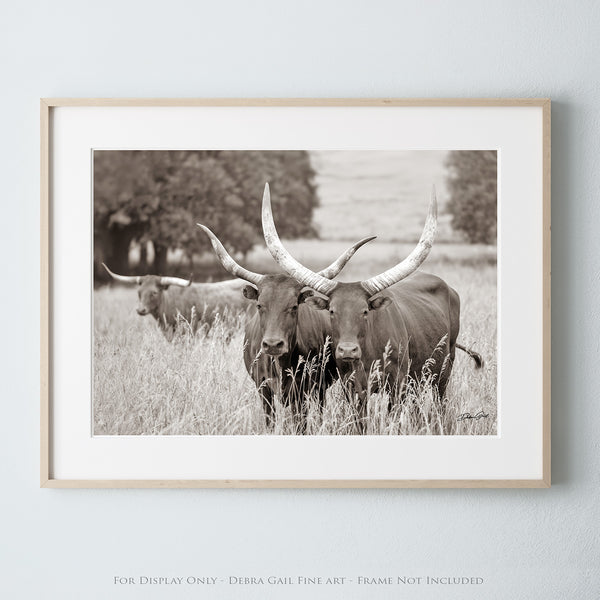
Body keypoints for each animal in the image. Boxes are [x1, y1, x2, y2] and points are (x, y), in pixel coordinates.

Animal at [198, 213, 376, 428]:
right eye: (259, 305)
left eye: (294, 307)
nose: (273, 344)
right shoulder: (263, 388)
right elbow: (270, 421)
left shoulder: (302, 390)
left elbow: (301, 424)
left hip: (321, 387)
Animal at [262, 184, 482, 422]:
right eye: (332, 311)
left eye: (365, 311)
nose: (347, 350)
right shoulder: (353, 389)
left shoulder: (397, 385)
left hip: (443, 370)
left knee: (440, 401)